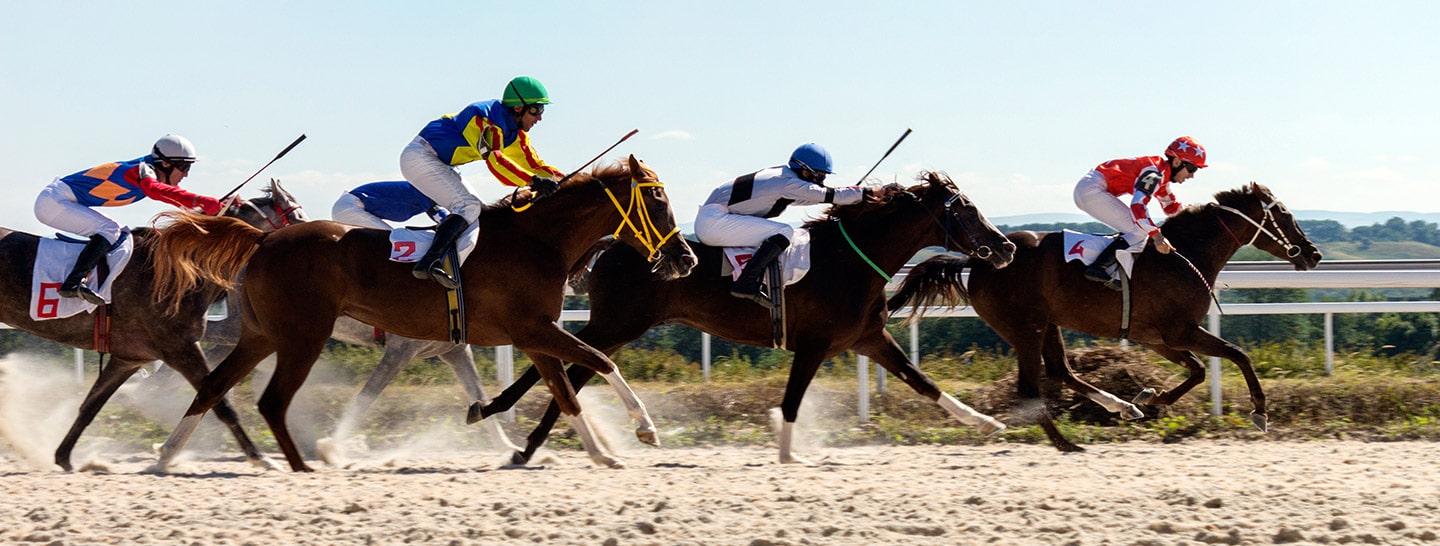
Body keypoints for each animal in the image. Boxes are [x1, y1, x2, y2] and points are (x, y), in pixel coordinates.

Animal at [0, 179, 303, 469]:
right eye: (297, 215)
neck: (180, 273)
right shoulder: (180, 348)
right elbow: (218, 400)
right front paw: (260, 458)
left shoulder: (128, 358)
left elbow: (90, 406)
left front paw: (64, 457)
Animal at [147, 156, 696, 472]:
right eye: (657, 199)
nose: (685, 259)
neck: (537, 241)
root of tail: (264, 239)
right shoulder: (530, 330)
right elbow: (602, 363)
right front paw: (644, 428)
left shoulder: (527, 336)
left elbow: (563, 392)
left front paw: (599, 451)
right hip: (301, 337)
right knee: (268, 399)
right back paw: (300, 465)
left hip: (261, 335)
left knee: (213, 386)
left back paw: (168, 455)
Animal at [483, 172, 1025, 466]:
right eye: (968, 210)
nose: (1007, 248)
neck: (848, 259)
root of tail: (611, 243)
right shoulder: (815, 345)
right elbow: (791, 401)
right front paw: (787, 453)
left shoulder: (867, 338)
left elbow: (922, 381)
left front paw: (986, 422)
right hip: (619, 324)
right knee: (570, 367)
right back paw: (524, 434)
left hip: (618, 328)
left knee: (569, 369)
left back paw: (526, 441)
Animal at [887, 181, 1324, 452]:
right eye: (1285, 215)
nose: (1313, 253)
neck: (1184, 255)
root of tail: (979, 261)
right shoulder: (1180, 331)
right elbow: (1238, 355)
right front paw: (1260, 412)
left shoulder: (1158, 338)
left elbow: (1199, 370)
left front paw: (1151, 397)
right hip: (1024, 327)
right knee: (1031, 386)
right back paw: (1065, 442)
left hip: (1047, 323)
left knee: (1060, 371)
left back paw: (1120, 407)